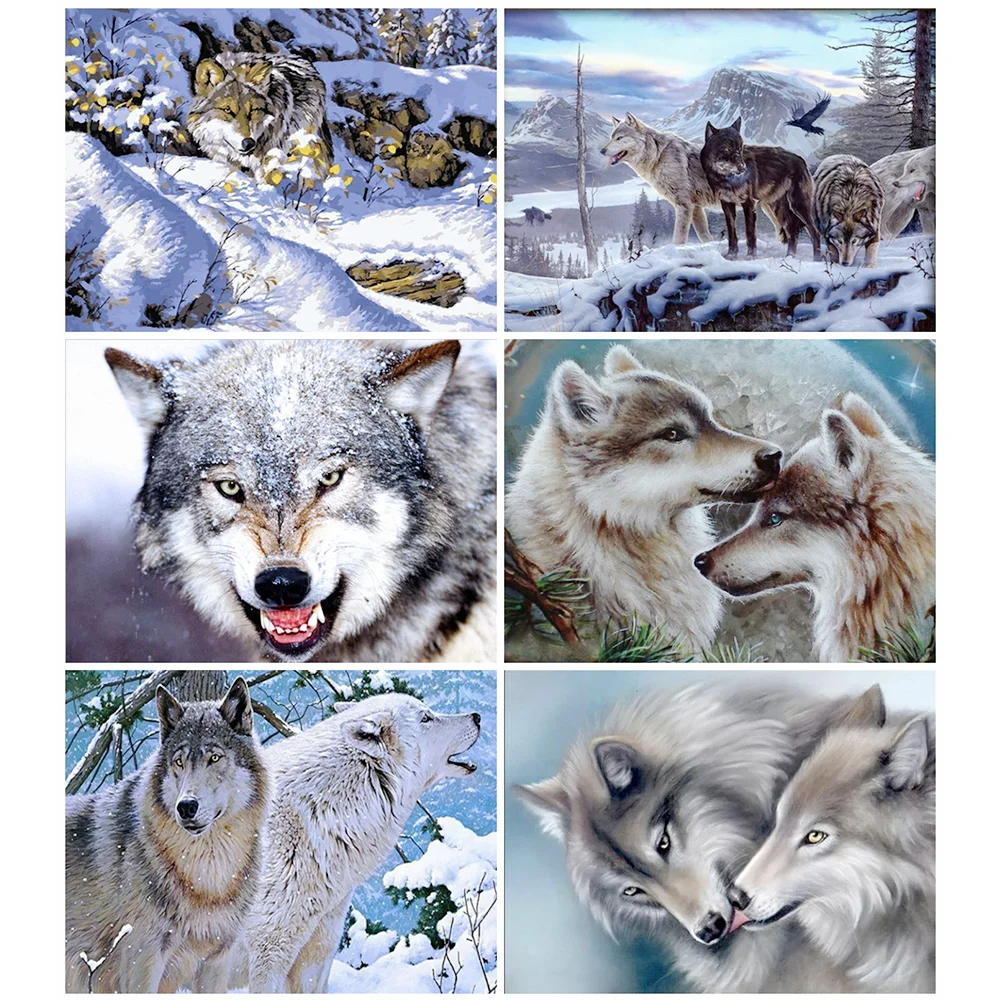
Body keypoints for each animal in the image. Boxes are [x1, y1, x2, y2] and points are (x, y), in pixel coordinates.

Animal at [65, 678, 269, 993]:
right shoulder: (143, 959)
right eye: (179, 762)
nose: (186, 807)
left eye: (214, 758)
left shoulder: (218, 958)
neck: (209, 876)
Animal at [700, 118, 822, 260]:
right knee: (792, 233)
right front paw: (731, 255)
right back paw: (789, 257)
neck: (727, 179)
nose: (742, 168)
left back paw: (816, 259)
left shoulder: (749, 204)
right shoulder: (727, 205)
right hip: (780, 210)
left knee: (815, 232)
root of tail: (802, 161)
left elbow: (750, 233)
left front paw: (750, 256)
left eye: (740, 148)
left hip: (798, 206)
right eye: (726, 149)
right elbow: (732, 233)